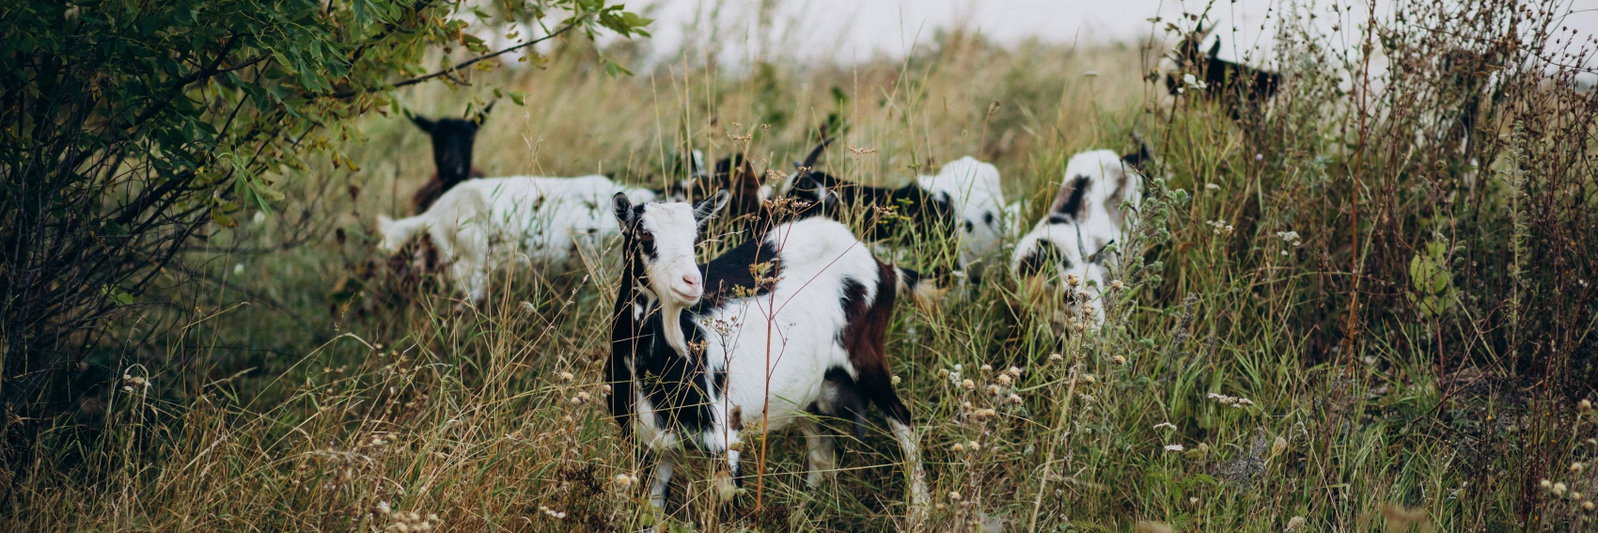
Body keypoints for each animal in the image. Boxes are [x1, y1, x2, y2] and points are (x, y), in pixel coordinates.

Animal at [607, 191, 929, 516]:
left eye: (695, 237)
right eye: (644, 233)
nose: (691, 282)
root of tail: (882, 266)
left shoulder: (723, 437)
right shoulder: (649, 445)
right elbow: (654, 511)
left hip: (865, 356)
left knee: (902, 417)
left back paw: (918, 511)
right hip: (810, 389)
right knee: (822, 448)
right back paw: (803, 511)